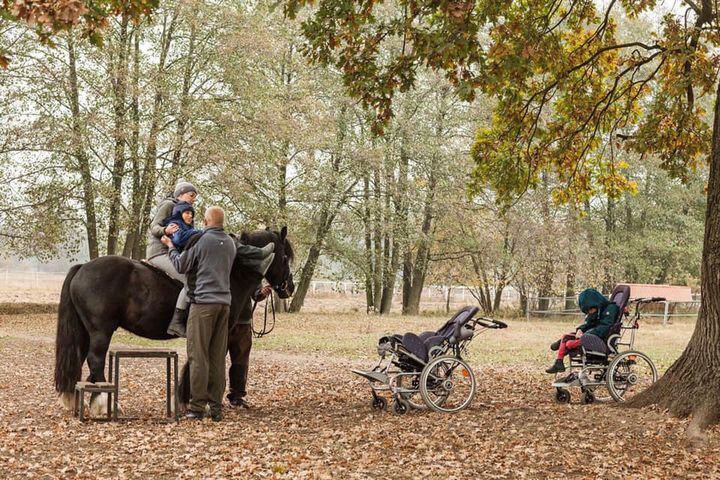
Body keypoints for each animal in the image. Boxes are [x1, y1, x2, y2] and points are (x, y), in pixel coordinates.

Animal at [52, 227, 296, 410]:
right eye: (285, 257)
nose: (289, 287)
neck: (231, 270)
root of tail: (83, 267)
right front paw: (187, 400)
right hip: (101, 331)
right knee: (95, 360)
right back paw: (104, 402)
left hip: (86, 331)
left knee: (80, 358)